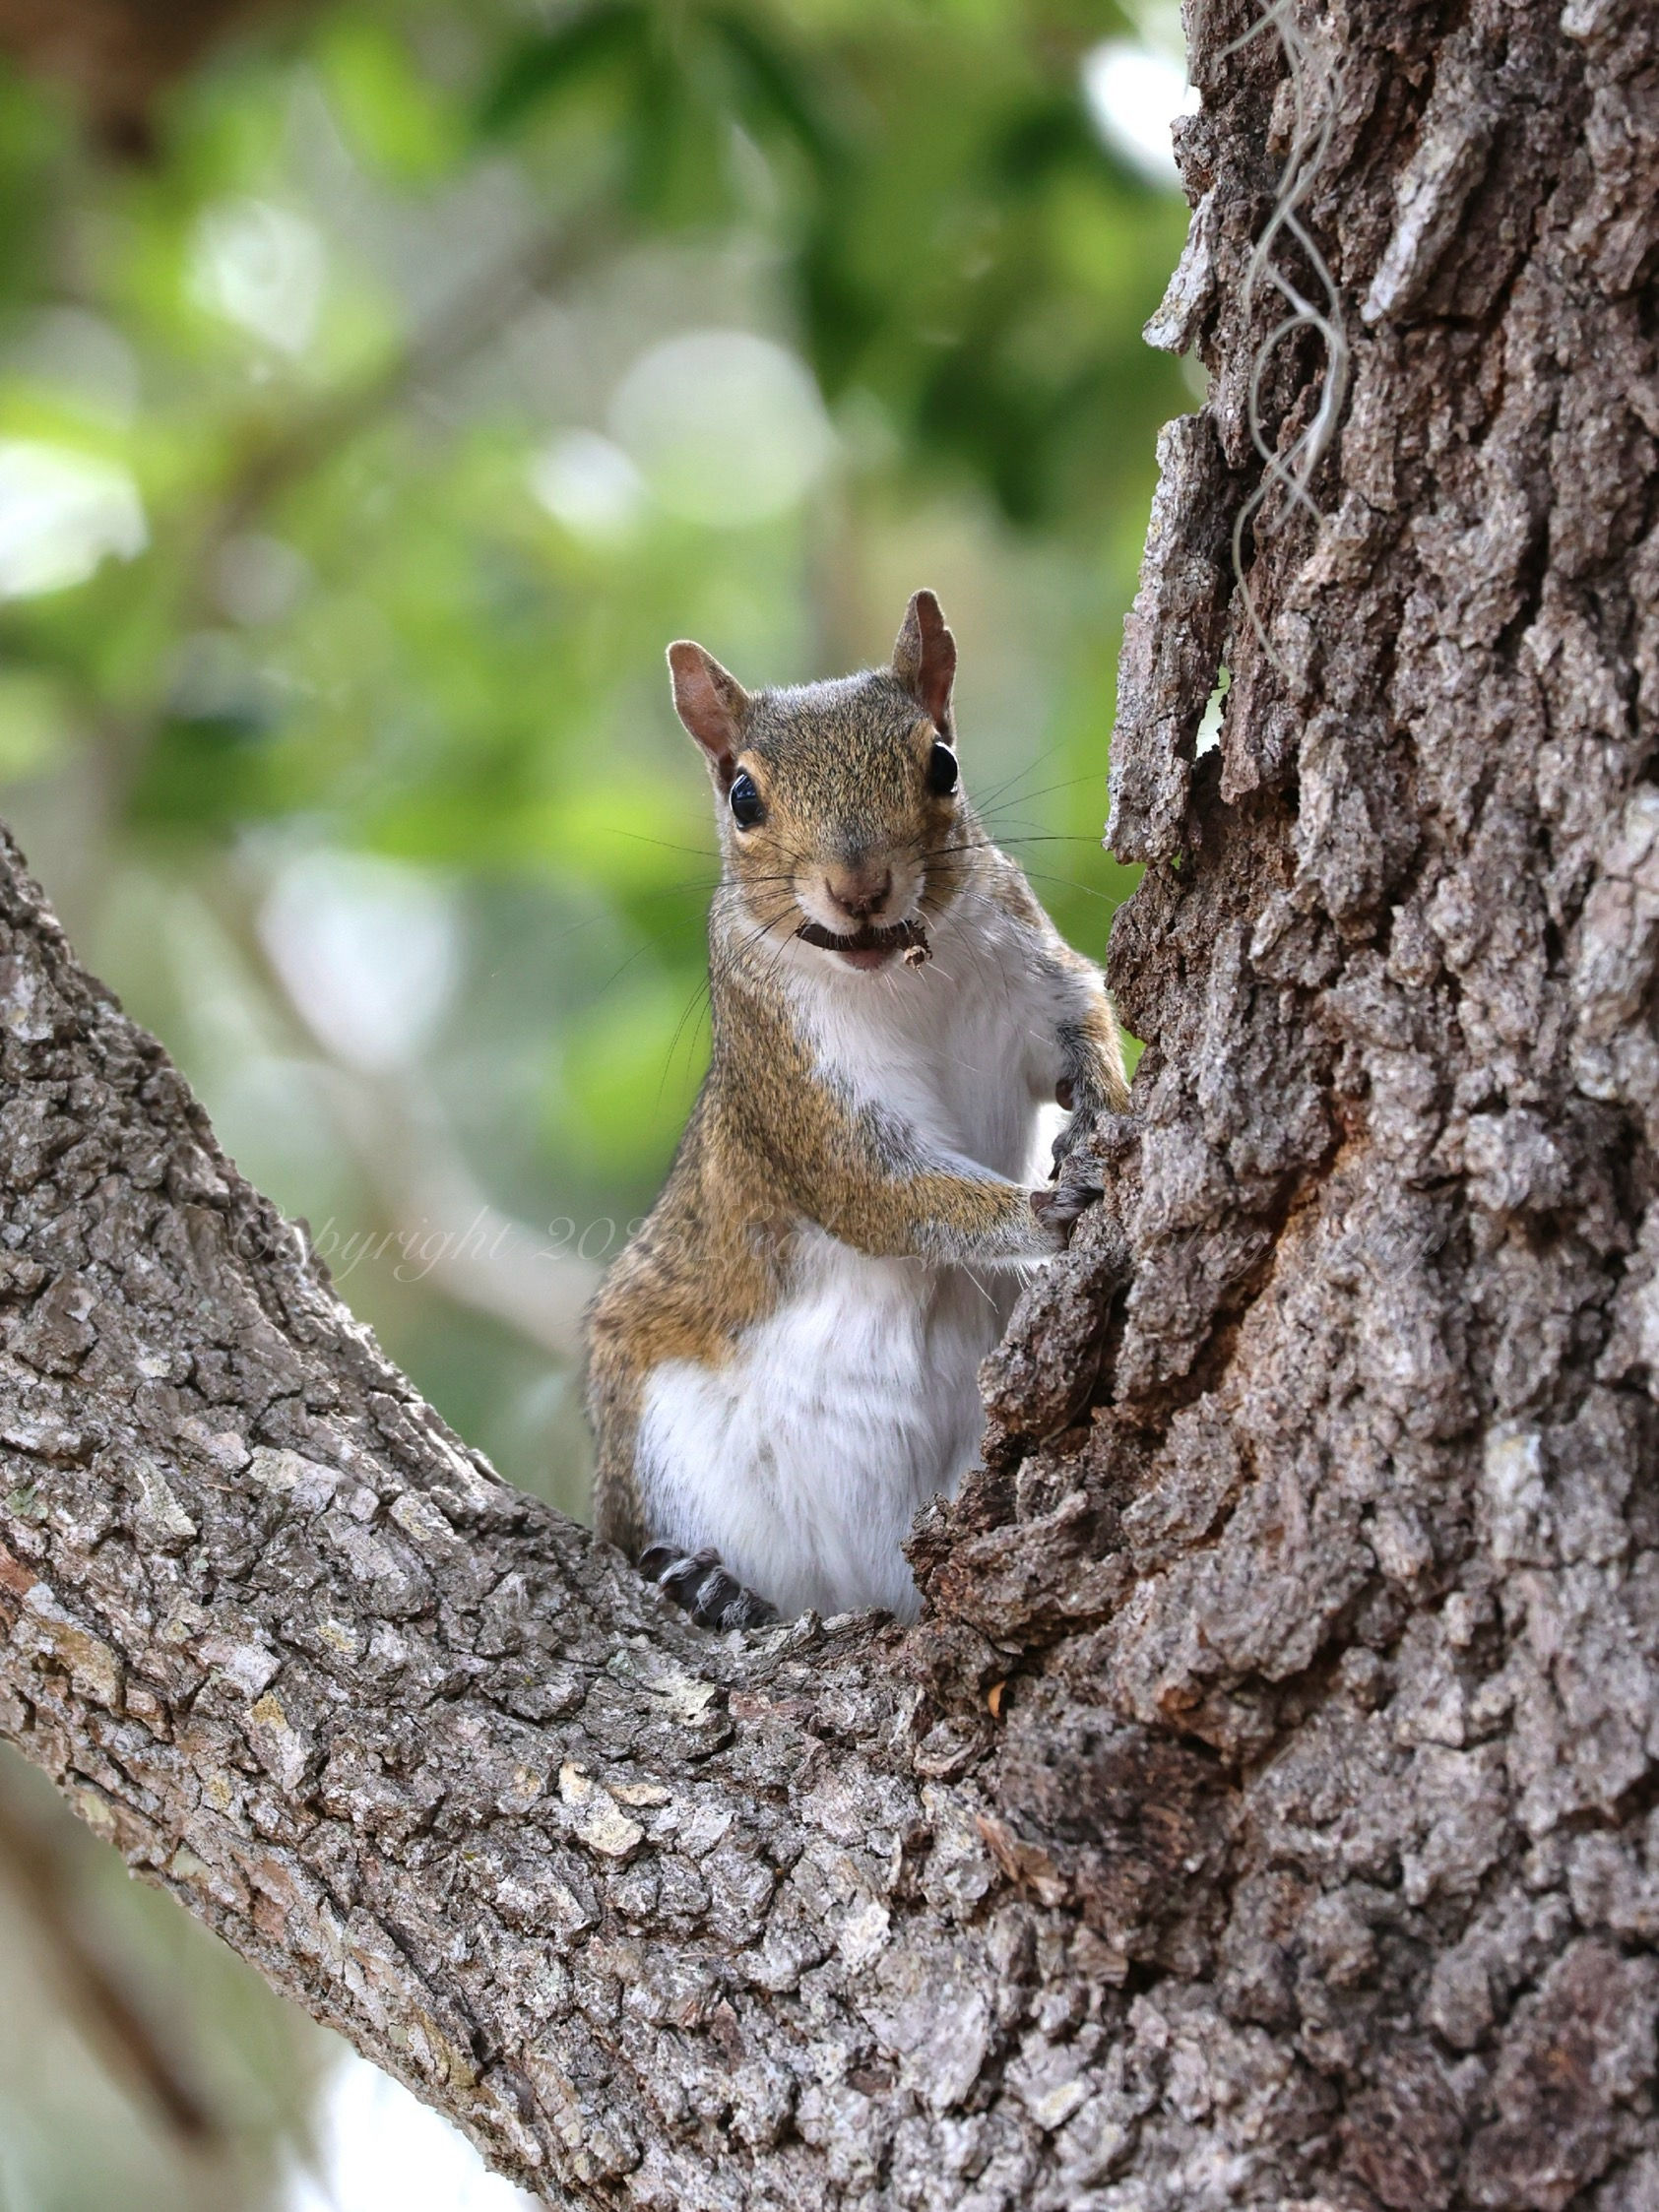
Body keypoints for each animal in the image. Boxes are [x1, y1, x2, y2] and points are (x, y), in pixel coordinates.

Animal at [584, 590, 1129, 1630]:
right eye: (743, 798)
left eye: (941, 762)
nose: (859, 888)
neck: (898, 976)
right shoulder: (796, 1084)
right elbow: (879, 1190)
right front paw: (1048, 1209)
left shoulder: (1029, 967)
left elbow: (1085, 1014)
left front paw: (1106, 1104)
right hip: (658, 1443)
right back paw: (713, 1587)